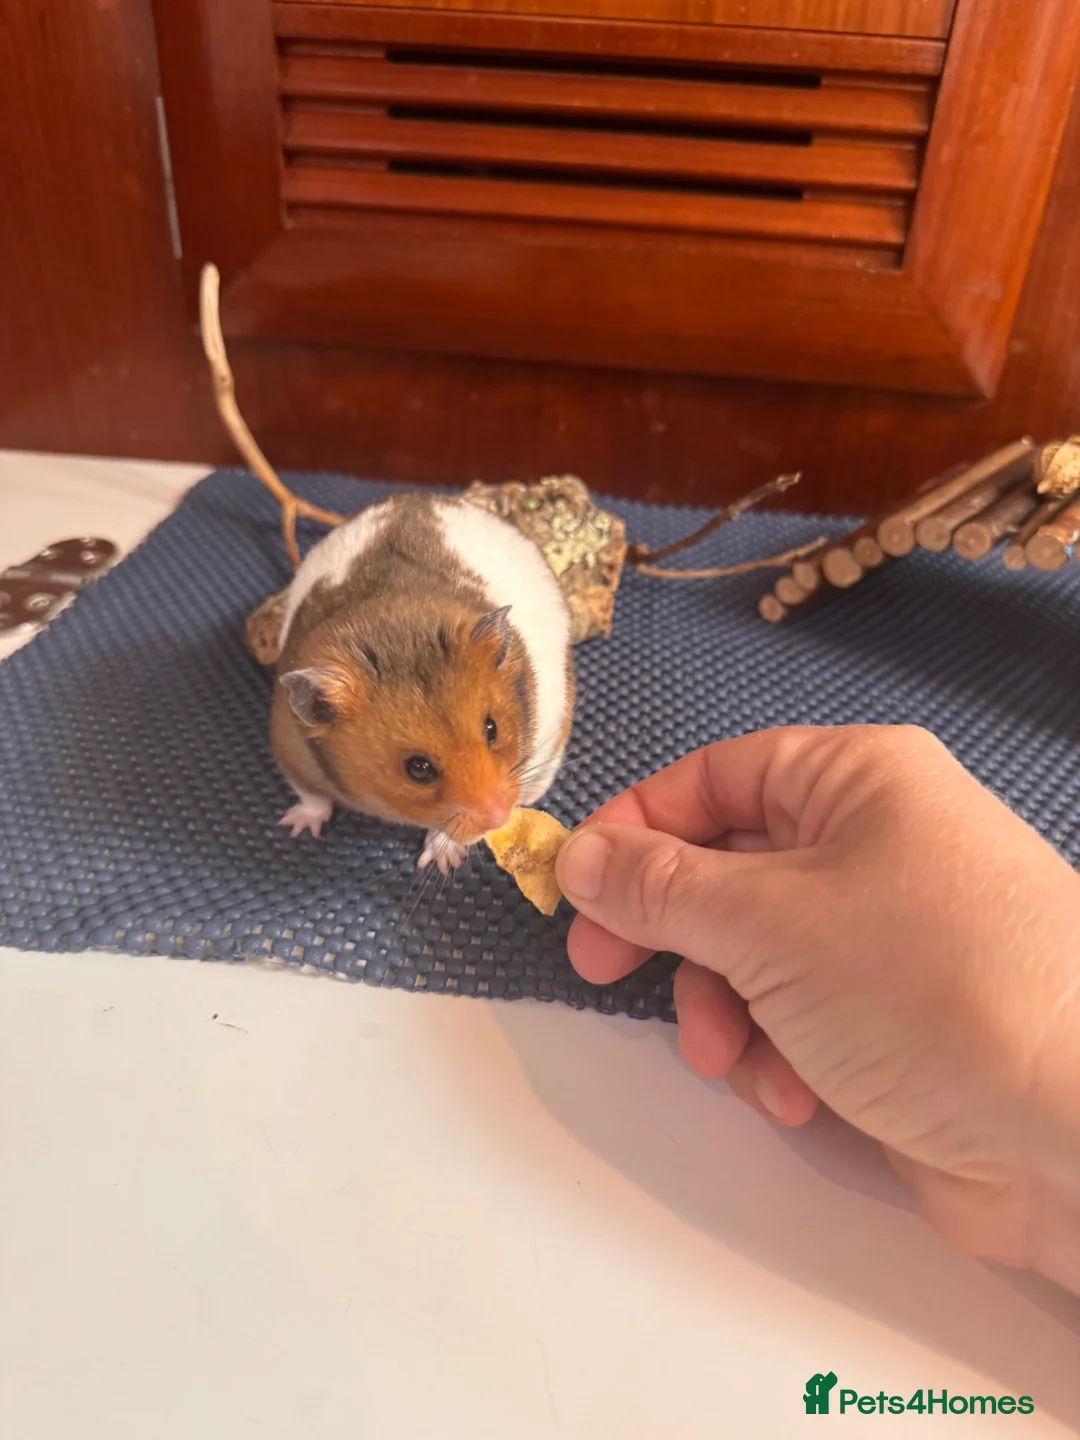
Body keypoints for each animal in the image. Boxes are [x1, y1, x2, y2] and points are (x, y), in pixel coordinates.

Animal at [270, 492, 574, 873]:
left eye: (492, 729)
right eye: (418, 769)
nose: (499, 817)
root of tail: (426, 496)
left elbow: (447, 832)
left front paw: (442, 862)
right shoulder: (291, 746)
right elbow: (313, 797)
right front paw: (296, 827)